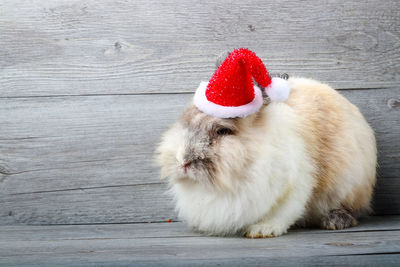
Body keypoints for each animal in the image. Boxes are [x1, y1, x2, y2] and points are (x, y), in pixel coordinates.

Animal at [155, 50, 376, 239]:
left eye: (222, 131)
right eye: (185, 121)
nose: (183, 162)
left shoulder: (294, 184)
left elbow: (283, 212)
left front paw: (262, 229)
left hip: (349, 185)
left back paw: (335, 220)